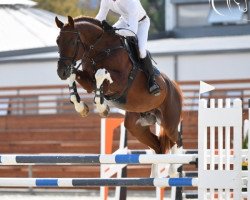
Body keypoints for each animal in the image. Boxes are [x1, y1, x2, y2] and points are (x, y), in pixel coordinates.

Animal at [56, 16, 182, 154]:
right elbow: (74, 76)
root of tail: (174, 86)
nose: (61, 72)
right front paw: (81, 107)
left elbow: (100, 73)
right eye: (57, 41)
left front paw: (102, 108)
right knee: (158, 146)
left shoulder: (121, 81)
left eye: (73, 42)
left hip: (170, 123)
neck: (101, 50)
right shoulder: (88, 81)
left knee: (176, 141)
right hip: (137, 126)